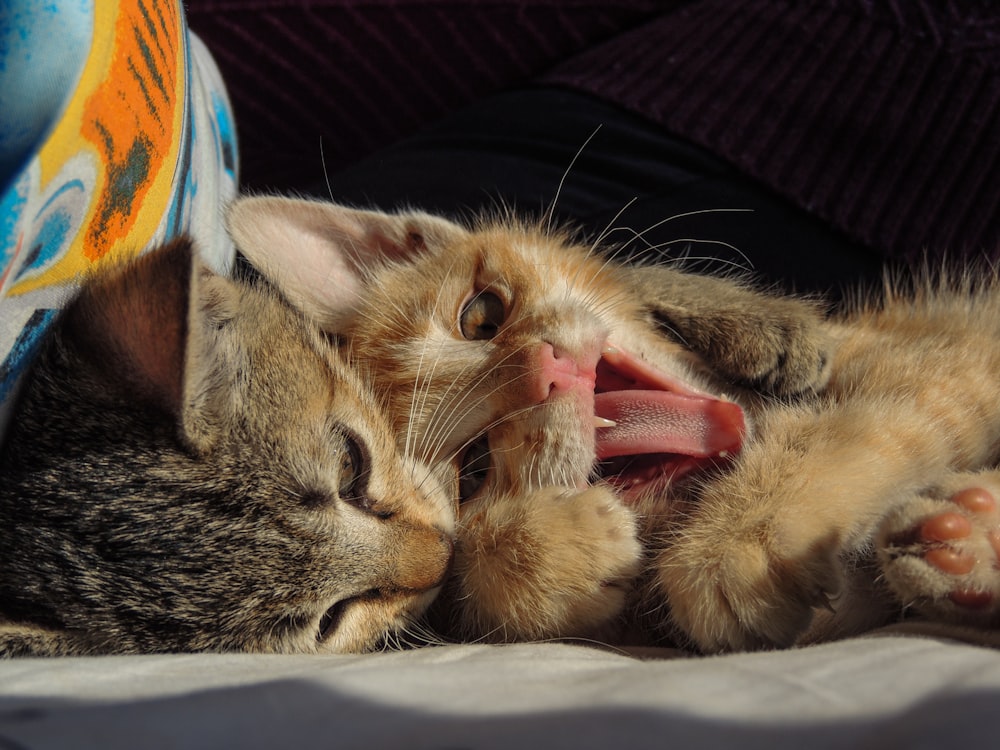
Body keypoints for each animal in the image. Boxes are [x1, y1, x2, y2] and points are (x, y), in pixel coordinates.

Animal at [230, 197, 1000, 656]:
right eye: (473, 469)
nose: (545, 371)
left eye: (481, 315)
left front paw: (738, 538)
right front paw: (550, 555)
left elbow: (864, 423)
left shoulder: (941, 355)